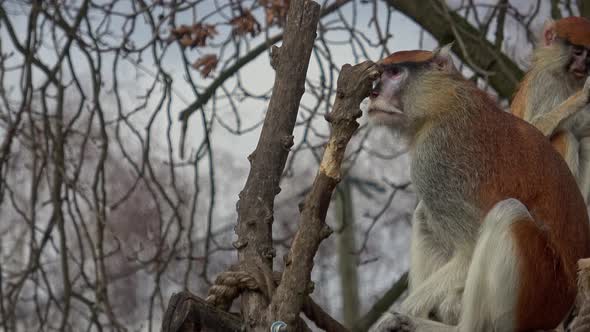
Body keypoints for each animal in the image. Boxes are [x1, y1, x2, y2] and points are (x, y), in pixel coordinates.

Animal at [370, 45, 590, 330]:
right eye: (379, 75)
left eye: (395, 73)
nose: (373, 93)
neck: (445, 103)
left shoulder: (433, 160)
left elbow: (468, 250)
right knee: (424, 215)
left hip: (541, 289)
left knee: (507, 213)